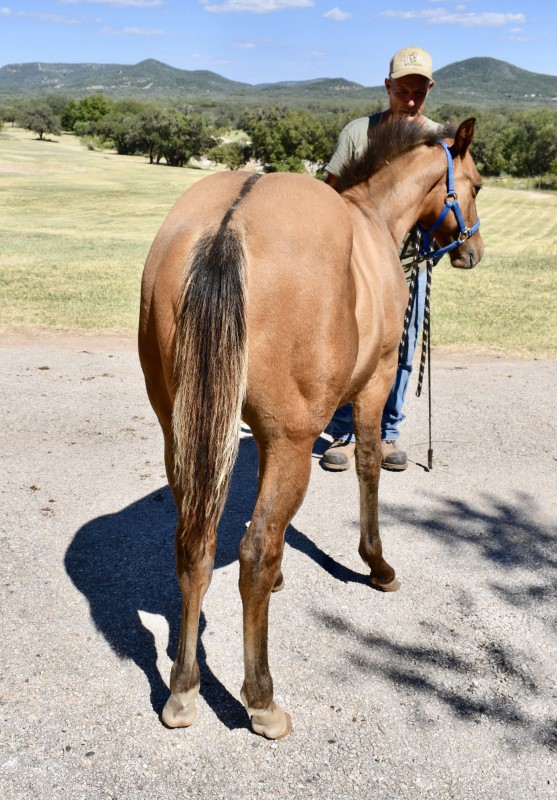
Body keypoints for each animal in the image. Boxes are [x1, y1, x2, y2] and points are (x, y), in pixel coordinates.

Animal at [138, 115, 482, 740]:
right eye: (476, 185)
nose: (473, 249)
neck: (373, 216)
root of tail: (228, 224)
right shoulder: (372, 386)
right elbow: (369, 467)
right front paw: (377, 563)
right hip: (293, 441)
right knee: (253, 554)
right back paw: (261, 697)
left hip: (183, 435)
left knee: (196, 545)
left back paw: (182, 687)